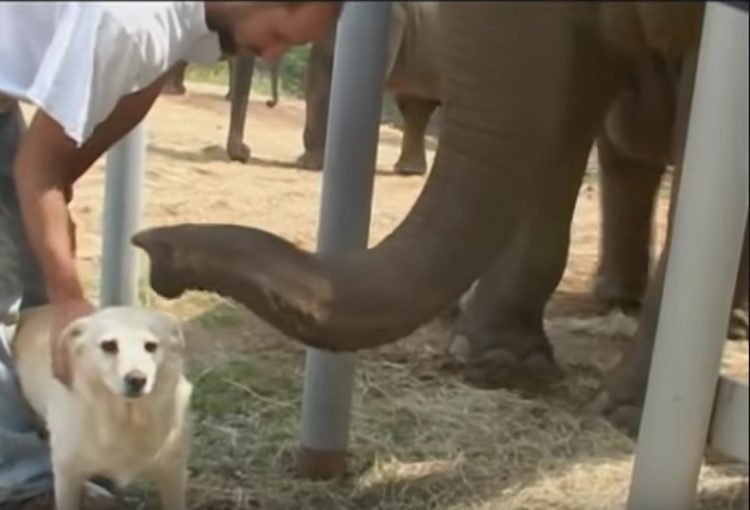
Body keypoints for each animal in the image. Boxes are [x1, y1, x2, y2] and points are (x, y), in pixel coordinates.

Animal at [10, 304, 192, 510]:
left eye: (151, 346)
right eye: (109, 345)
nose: (137, 379)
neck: (126, 419)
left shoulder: (173, 472)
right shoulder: (66, 475)